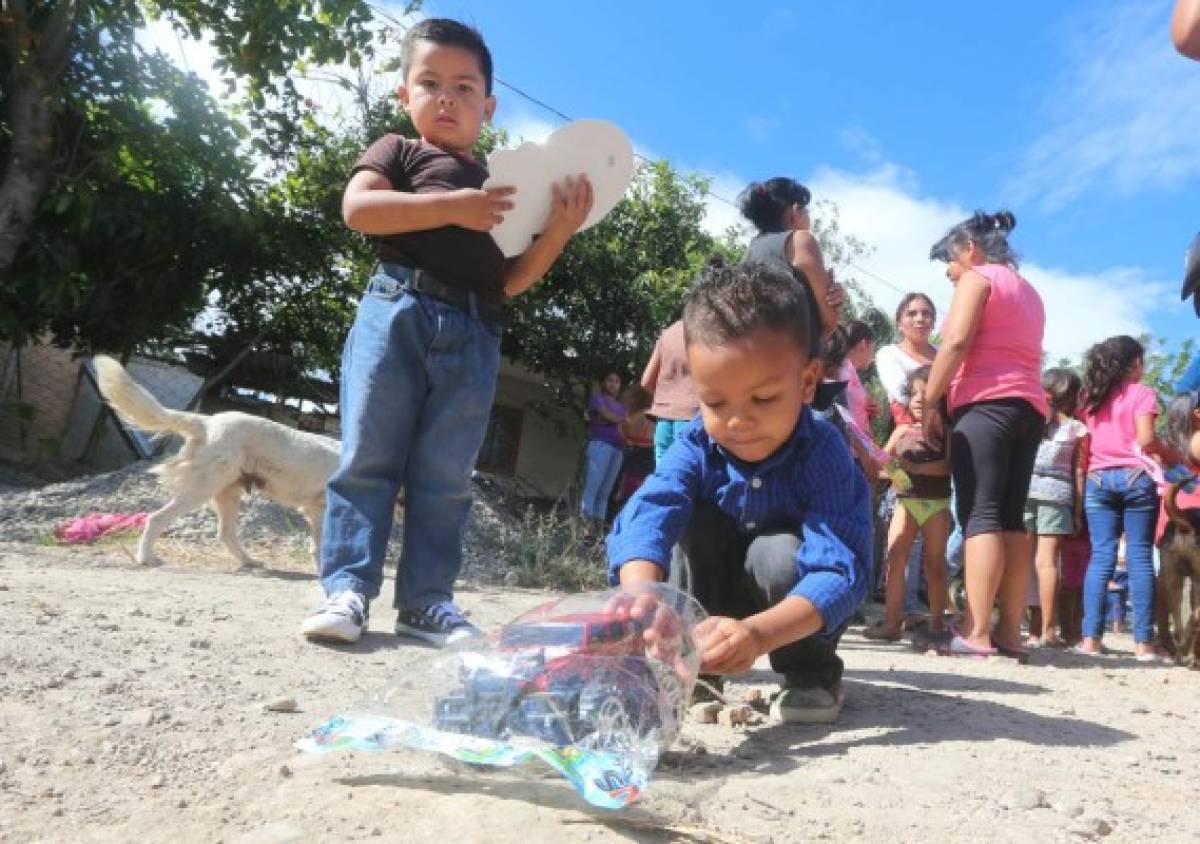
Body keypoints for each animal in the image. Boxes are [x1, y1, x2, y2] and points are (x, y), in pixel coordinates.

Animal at [90, 355, 338, 566]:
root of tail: (208, 422)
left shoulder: (317, 511)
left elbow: (318, 548)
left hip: (227, 494)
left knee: (225, 534)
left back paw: (249, 561)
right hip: (202, 488)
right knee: (156, 518)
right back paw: (146, 558)